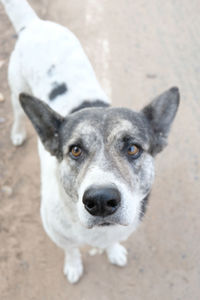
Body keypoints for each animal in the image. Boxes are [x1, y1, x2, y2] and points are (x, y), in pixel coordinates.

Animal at [1, 0, 180, 284]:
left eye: (133, 148)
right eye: (75, 150)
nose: (101, 200)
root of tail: (35, 24)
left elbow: (112, 242)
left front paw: (114, 252)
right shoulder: (58, 235)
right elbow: (72, 249)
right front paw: (74, 266)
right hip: (17, 89)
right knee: (18, 114)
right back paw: (17, 133)